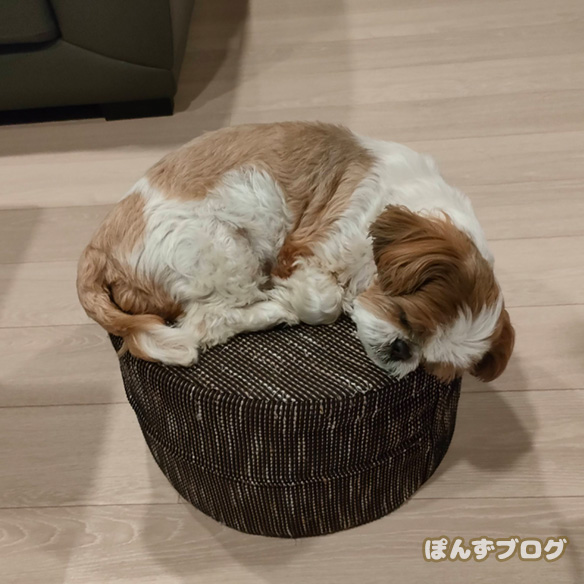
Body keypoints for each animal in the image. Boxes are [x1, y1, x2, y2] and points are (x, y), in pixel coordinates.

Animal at [77, 122, 514, 381]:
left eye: (429, 365)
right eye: (406, 317)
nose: (402, 349)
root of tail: (99, 249)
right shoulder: (316, 241)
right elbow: (325, 301)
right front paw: (297, 299)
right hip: (223, 252)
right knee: (208, 322)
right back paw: (274, 309)